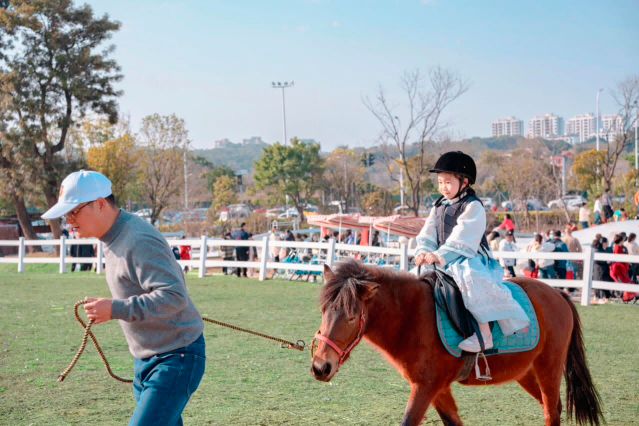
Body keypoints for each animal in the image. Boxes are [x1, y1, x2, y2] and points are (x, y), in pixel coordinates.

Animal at [310, 260, 603, 426]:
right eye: (323, 310)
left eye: (351, 316)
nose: (321, 366)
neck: (413, 317)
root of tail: (558, 293)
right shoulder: (437, 390)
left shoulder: (426, 387)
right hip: (526, 373)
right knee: (550, 408)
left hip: (548, 367)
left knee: (551, 412)